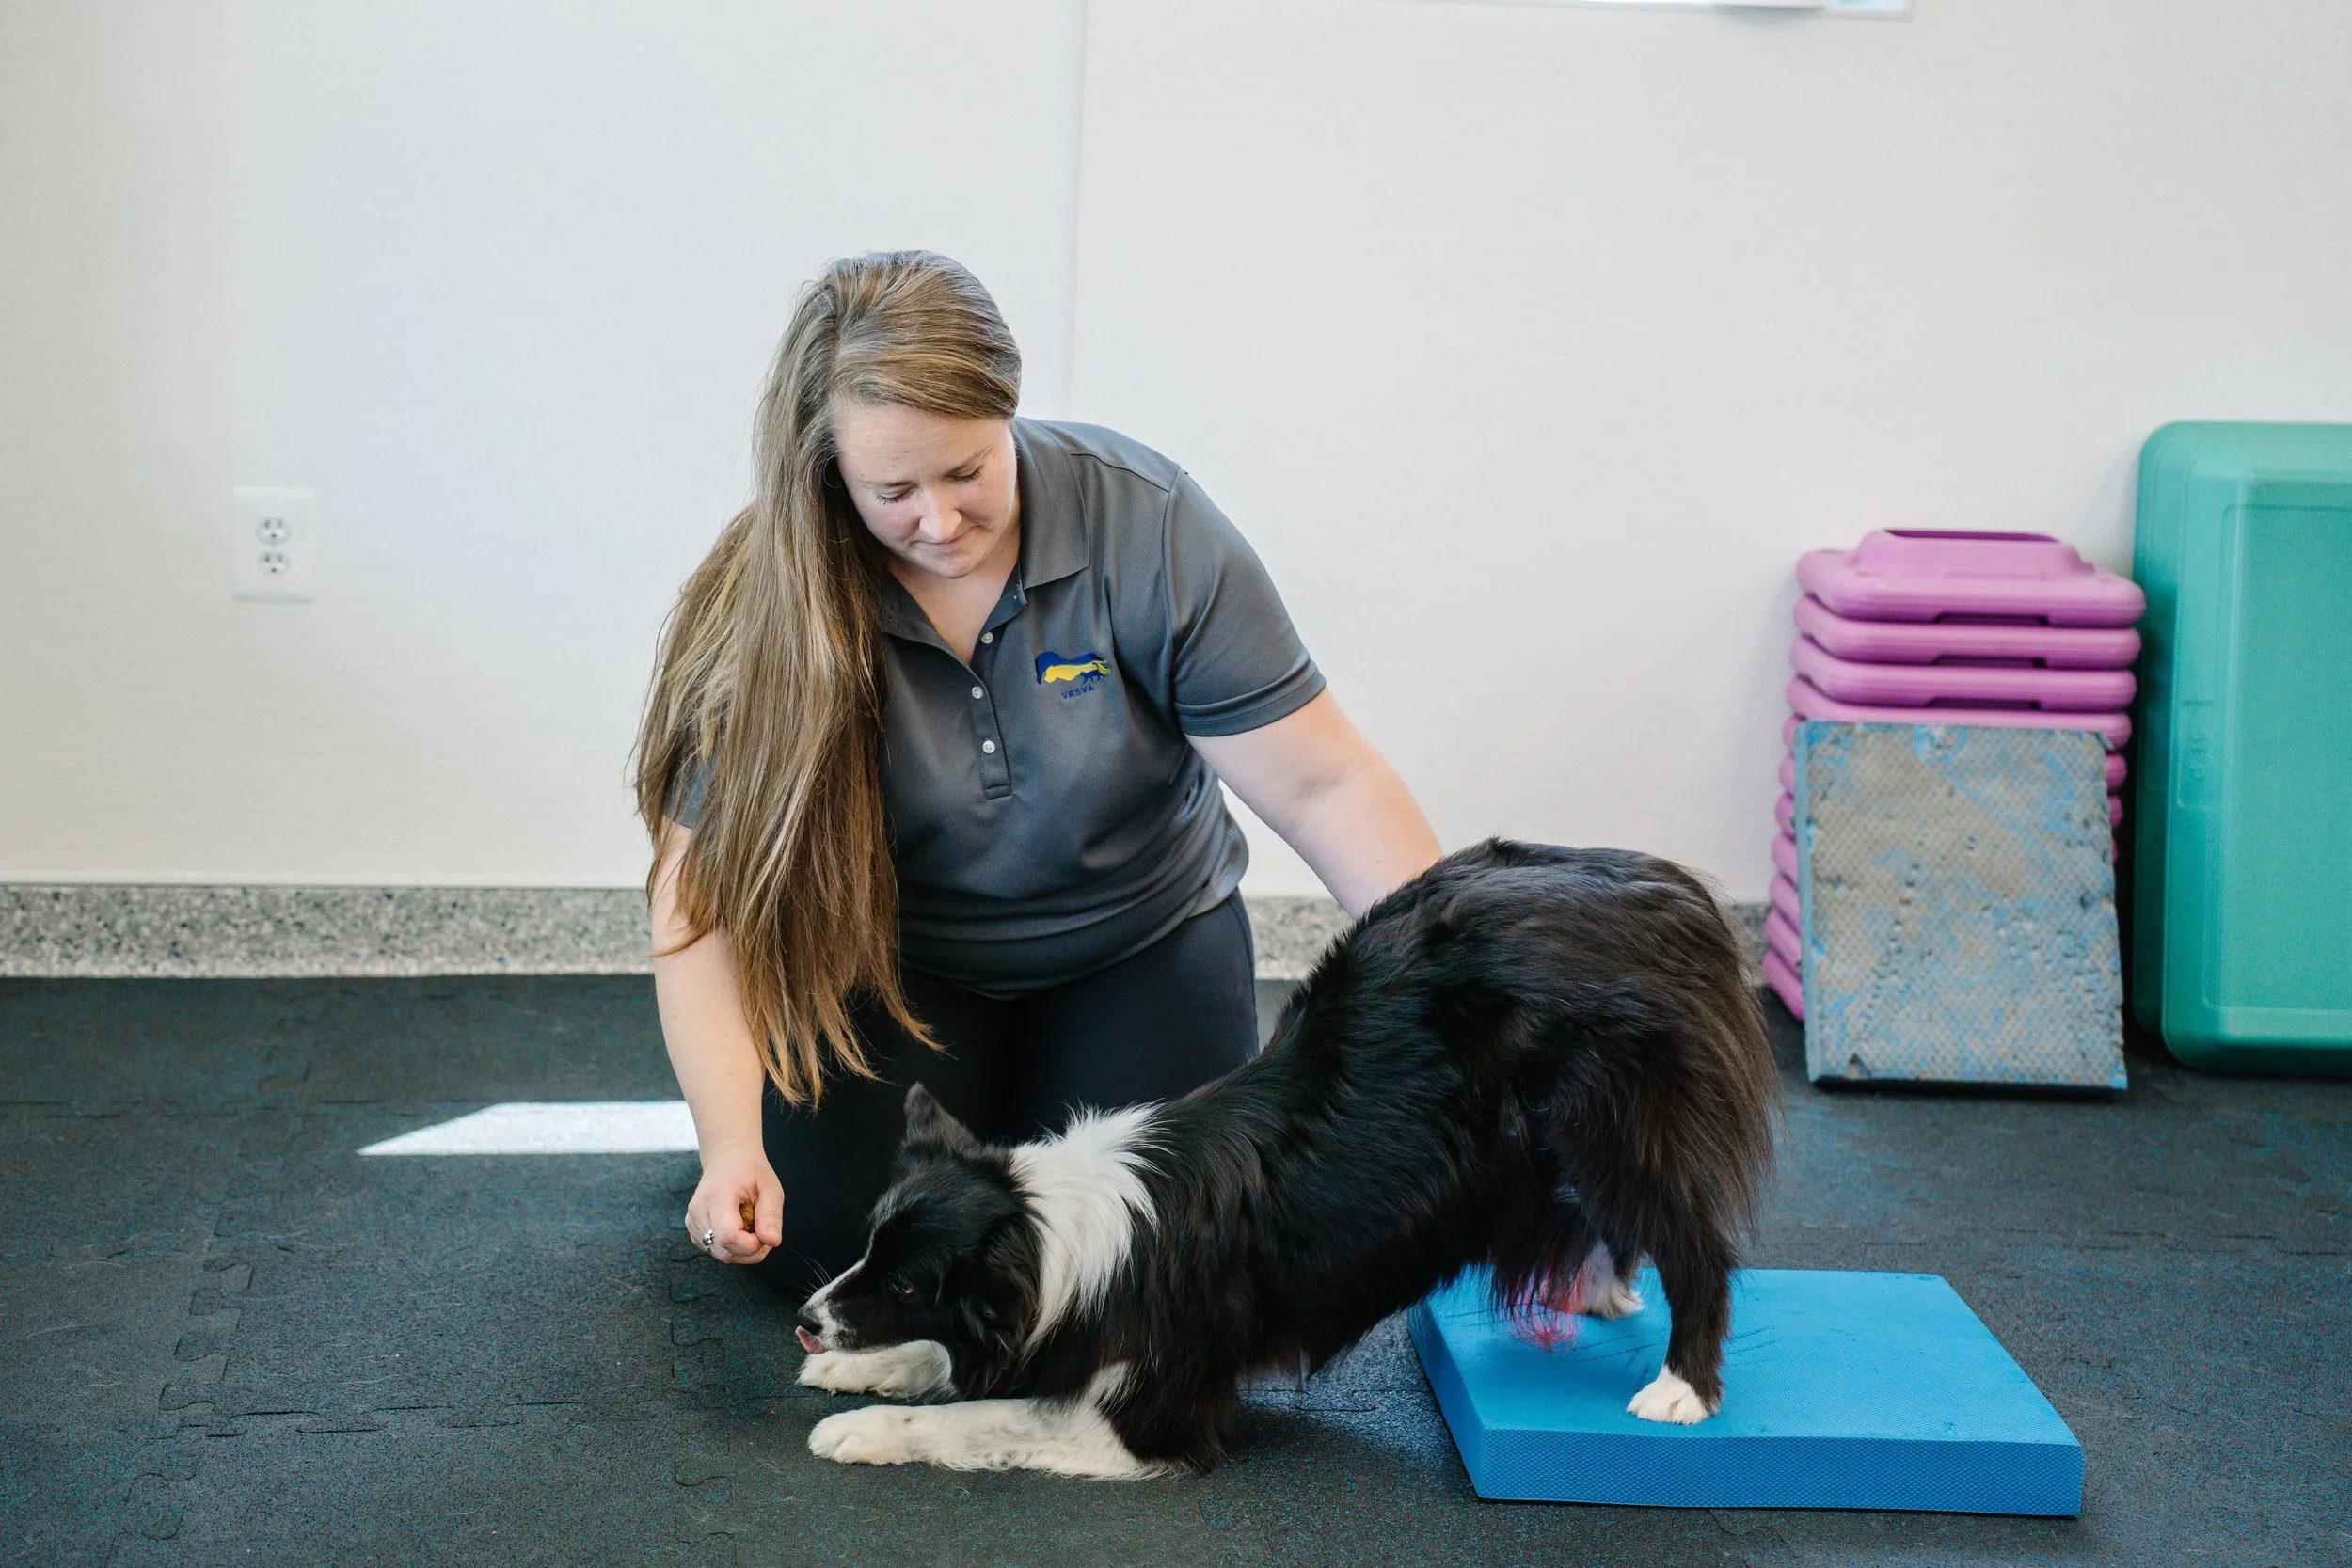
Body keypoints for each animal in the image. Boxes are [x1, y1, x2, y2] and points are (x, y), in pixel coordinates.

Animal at [793, 839, 1777, 1477]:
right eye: (868, 1246)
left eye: (910, 1281)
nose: (806, 1318)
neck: (1053, 1237)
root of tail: (1661, 884)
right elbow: (956, 1369)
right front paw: (861, 1368)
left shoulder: (1142, 1417)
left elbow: (976, 1416)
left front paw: (868, 1430)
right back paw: (1602, 1292)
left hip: (1614, 1126)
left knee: (1698, 1251)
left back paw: (1682, 1386)